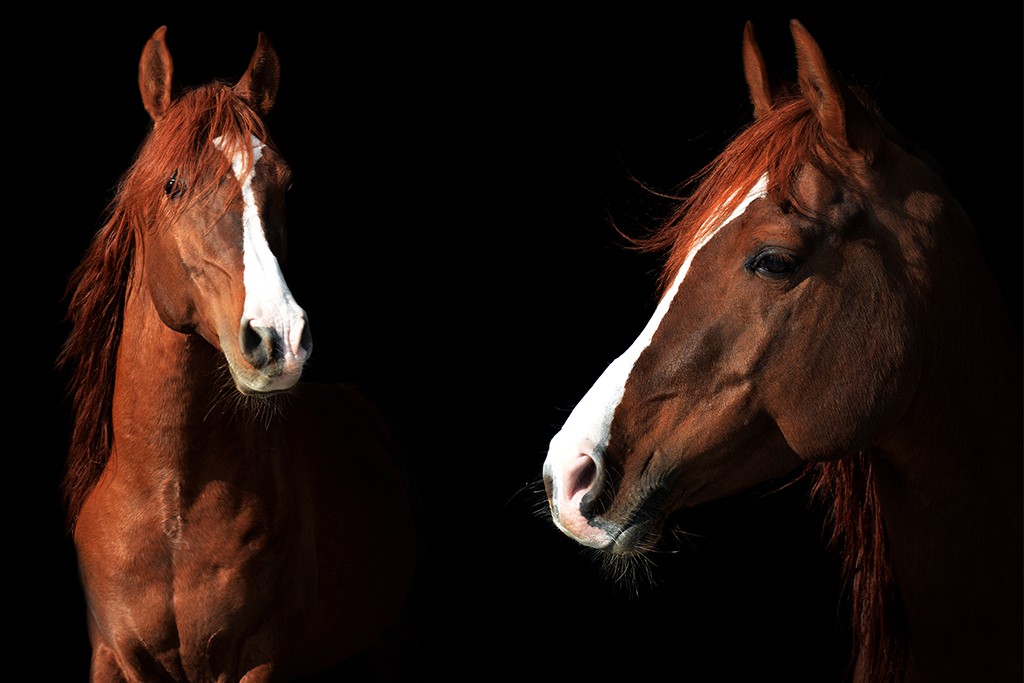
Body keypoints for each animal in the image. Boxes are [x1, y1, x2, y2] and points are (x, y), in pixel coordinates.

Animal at [56, 26, 413, 683]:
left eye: (287, 184)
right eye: (172, 184)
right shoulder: (115, 657)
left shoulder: (255, 661)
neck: (170, 502)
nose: (279, 339)